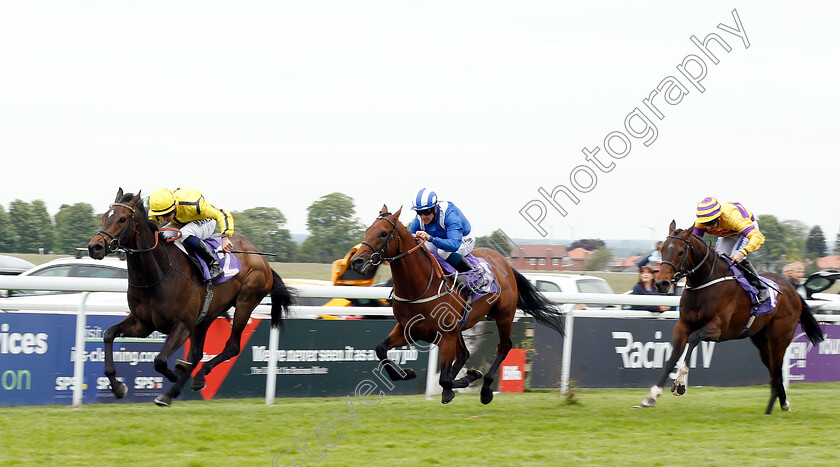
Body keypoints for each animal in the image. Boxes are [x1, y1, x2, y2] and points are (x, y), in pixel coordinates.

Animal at [87, 189, 294, 406]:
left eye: (122, 219)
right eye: (104, 217)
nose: (95, 247)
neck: (158, 274)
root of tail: (261, 257)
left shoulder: (182, 325)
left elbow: (160, 361)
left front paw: (177, 371)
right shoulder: (142, 323)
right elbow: (109, 334)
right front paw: (118, 387)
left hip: (245, 303)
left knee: (232, 347)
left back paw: (198, 376)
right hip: (207, 314)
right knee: (196, 354)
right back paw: (172, 392)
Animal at [350, 207, 564, 404]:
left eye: (383, 233)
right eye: (367, 230)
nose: (356, 261)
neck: (420, 287)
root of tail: (504, 262)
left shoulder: (446, 335)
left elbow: (444, 379)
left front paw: (467, 379)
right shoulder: (408, 329)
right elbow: (381, 349)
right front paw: (407, 373)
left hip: (504, 315)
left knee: (504, 346)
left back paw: (486, 389)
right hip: (461, 327)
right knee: (464, 354)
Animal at [640, 219, 824, 414]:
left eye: (681, 251)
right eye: (663, 249)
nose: (661, 283)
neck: (705, 282)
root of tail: (794, 291)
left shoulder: (718, 328)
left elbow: (694, 338)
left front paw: (680, 384)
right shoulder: (683, 325)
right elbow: (672, 357)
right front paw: (651, 396)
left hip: (780, 338)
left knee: (777, 372)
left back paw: (770, 410)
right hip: (761, 340)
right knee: (774, 372)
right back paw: (783, 404)